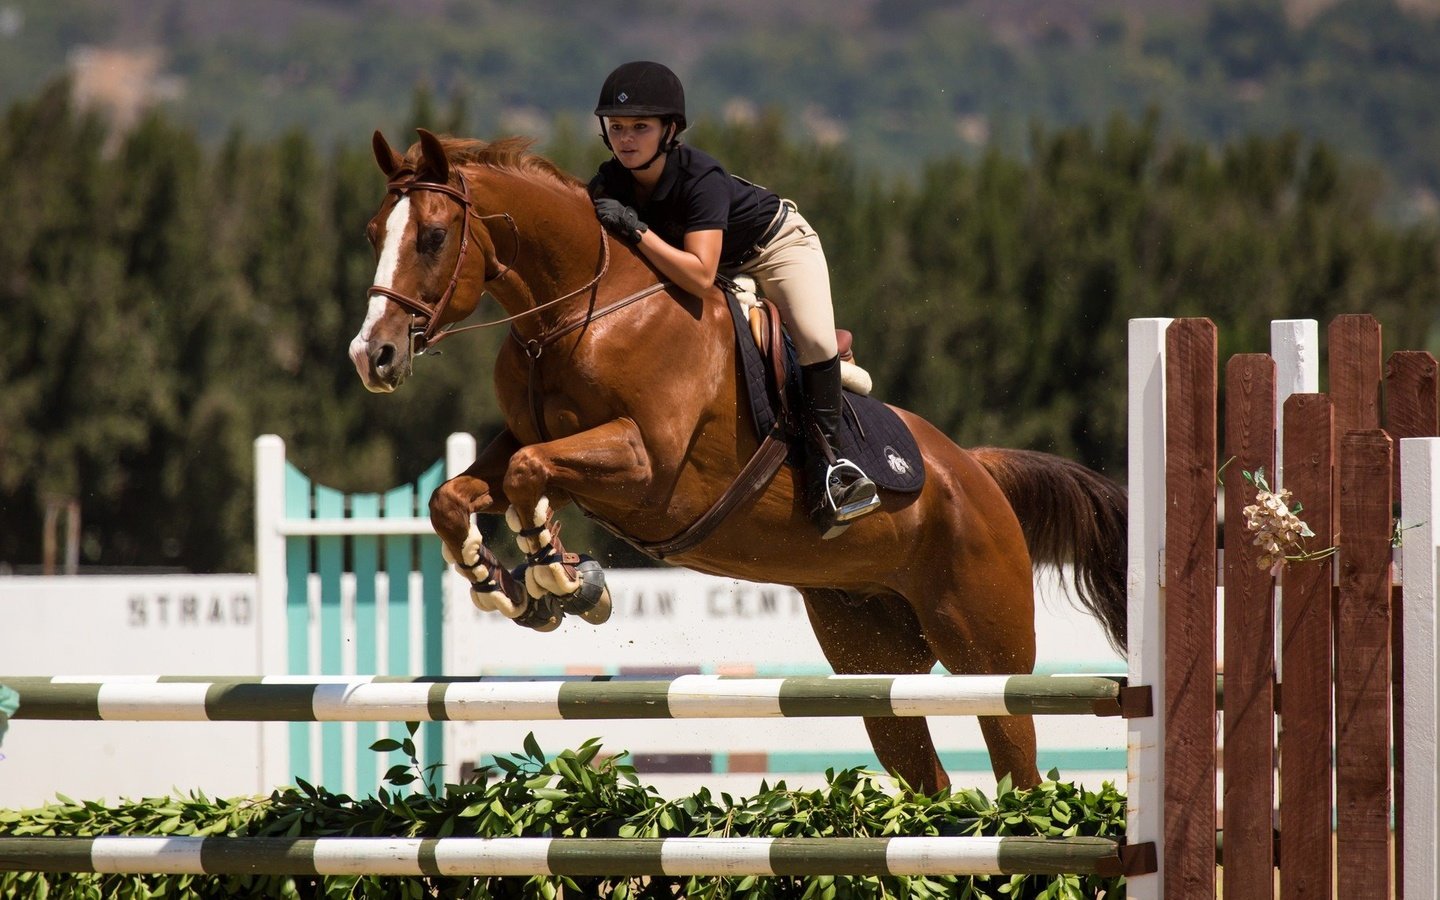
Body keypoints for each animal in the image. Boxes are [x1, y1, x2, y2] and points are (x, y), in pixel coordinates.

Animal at [345, 128, 1123, 794]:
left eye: (434, 237)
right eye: (374, 235)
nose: (371, 356)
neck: (579, 315)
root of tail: (975, 472)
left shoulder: (647, 465)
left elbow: (528, 475)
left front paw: (562, 579)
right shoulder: (534, 442)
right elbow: (464, 493)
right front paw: (513, 584)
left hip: (986, 654)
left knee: (1018, 764)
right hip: (874, 659)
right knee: (925, 777)